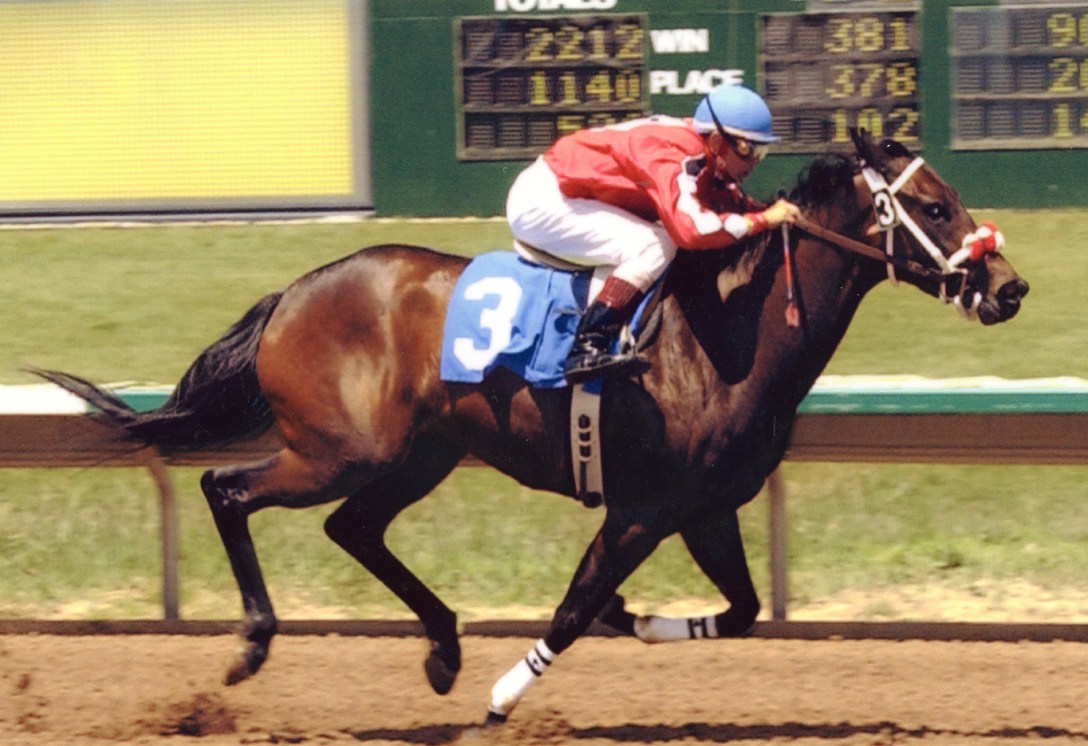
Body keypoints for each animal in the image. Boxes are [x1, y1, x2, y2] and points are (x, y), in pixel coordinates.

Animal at [37, 130, 1028, 723]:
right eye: (933, 206)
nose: (1009, 286)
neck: (728, 334)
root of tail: (294, 292)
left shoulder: (707, 507)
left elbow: (740, 611)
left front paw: (639, 620)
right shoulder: (640, 509)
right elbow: (574, 605)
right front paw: (509, 693)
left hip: (420, 453)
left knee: (352, 528)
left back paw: (441, 647)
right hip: (339, 449)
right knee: (227, 488)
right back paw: (252, 644)